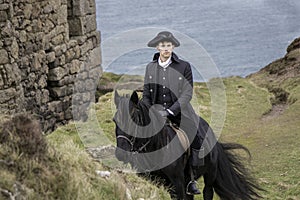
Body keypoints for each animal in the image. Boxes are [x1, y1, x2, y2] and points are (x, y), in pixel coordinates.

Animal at [113, 91, 264, 200]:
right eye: (115, 120)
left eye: (133, 119)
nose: (121, 153)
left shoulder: (177, 183)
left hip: (209, 175)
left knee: (207, 192)